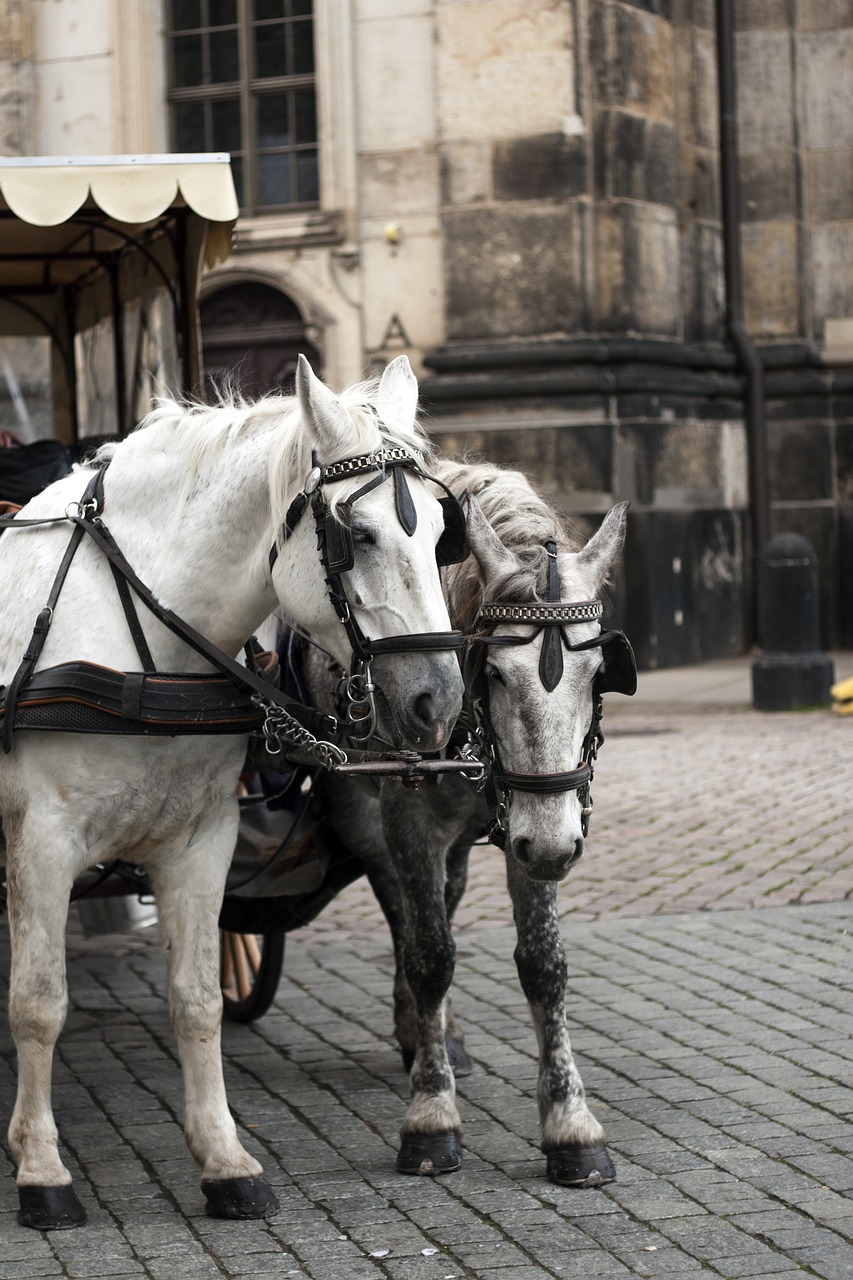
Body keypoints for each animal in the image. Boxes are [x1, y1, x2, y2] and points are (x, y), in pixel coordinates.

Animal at [0, 353, 461, 1228]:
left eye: (439, 535)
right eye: (357, 536)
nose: (439, 700)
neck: (139, 641)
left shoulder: (199, 840)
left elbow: (197, 1000)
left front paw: (223, 1162)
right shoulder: (43, 842)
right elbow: (39, 1002)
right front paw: (42, 1172)